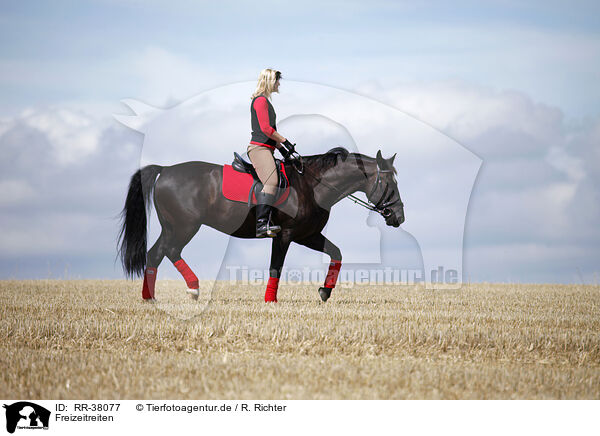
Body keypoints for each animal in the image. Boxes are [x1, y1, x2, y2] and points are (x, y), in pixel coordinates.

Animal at [119, 148, 406, 302]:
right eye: (389, 184)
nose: (399, 217)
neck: (312, 186)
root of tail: (166, 169)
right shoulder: (285, 235)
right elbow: (275, 267)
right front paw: (271, 300)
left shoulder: (308, 235)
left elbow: (337, 253)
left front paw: (325, 291)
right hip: (184, 226)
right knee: (169, 251)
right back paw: (193, 287)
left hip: (172, 227)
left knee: (155, 254)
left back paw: (149, 297)